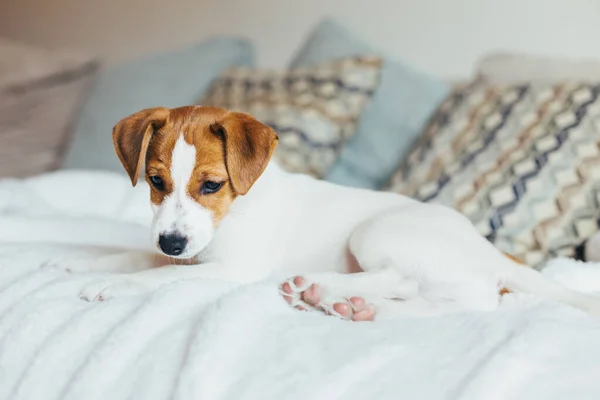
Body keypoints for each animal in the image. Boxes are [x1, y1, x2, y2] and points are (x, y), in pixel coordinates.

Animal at [59, 106, 600, 322]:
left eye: (211, 185)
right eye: (155, 182)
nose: (171, 242)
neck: (237, 207)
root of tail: (490, 252)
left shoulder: (231, 269)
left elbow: (156, 276)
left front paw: (110, 285)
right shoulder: (182, 250)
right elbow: (134, 256)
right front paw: (82, 262)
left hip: (377, 233)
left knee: (406, 280)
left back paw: (324, 287)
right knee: (444, 305)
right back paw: (349, 305)